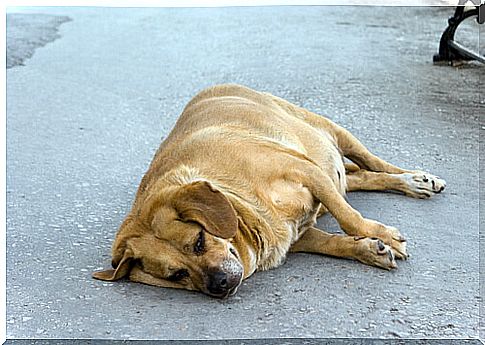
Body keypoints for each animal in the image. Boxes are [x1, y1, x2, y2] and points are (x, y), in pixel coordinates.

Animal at [92, 84, 444, 298]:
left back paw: (413, 180)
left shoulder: (304, 170)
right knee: (359, 178)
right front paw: (368, 249)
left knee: (372, 162)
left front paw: (380, 235)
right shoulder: (299, 235)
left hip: (330, 130)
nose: (220, 285)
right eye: (177, 275)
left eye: (199, 241)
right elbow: (334, 242)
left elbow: (349, 218)